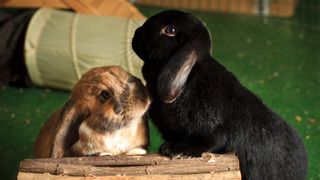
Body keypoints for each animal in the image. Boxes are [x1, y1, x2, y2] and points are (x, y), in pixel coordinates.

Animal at [132, 10, 308, 180]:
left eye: (170, 30)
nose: (136, 33)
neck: (191, 80)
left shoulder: (213, 131)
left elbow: (210, 141)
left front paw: (177, 151)